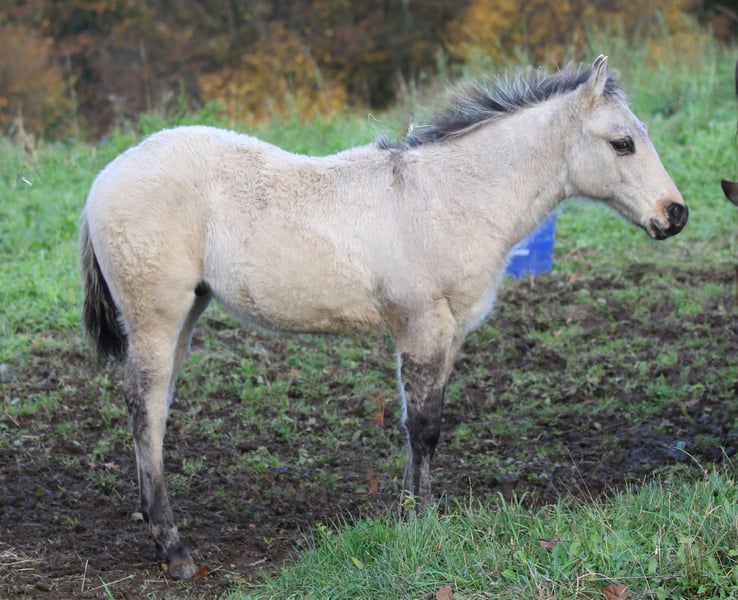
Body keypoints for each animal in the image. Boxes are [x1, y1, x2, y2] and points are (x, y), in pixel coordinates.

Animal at [79, 55, 688, 579]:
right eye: (623, 143)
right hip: (156, 316)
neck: (450, 198)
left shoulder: (447, 335)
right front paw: (418, 523)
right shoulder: (421, 326)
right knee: (145, 410)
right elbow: (423, 427)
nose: (675, 214)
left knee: (154, 409)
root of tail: (104, 179)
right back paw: (174, 549)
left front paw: (418, 513)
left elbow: (422, 425)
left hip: (186, 314)